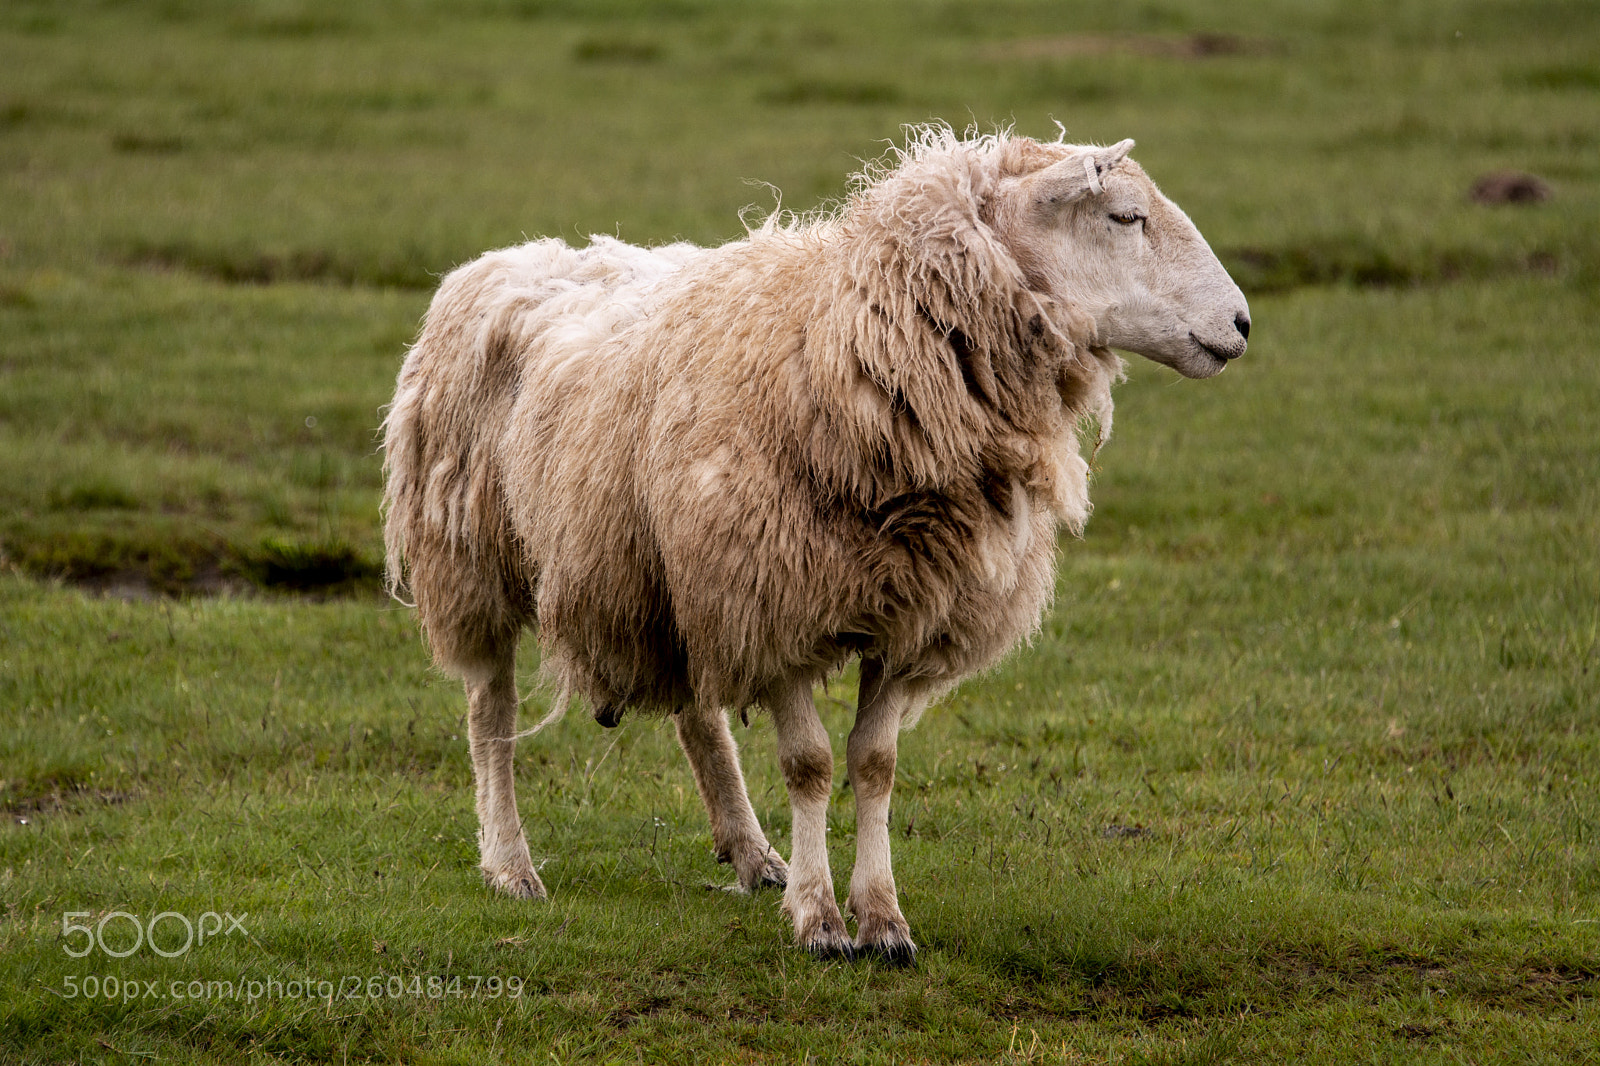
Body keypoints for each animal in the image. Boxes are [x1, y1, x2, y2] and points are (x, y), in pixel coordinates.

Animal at [382, 125, 1250, 963]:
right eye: (1125, 217)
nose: (1241, 325)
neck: (851, 343)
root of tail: (508, 256)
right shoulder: (778, 606)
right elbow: (812, 765)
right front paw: (821, 920)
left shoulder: (908, 613)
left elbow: (874, 765)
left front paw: (883, 920)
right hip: (473, 556)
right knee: (490, 711)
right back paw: (510, 864)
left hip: (675, 573)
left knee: (698, 713)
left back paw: (750, 851)